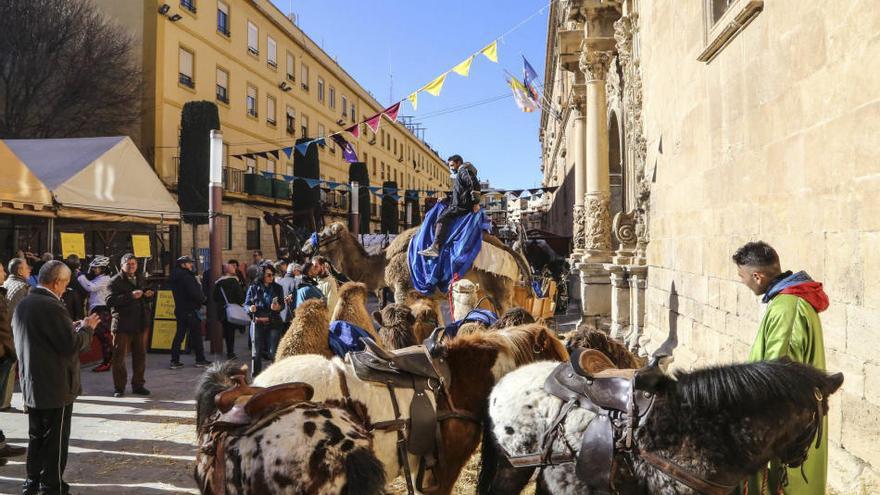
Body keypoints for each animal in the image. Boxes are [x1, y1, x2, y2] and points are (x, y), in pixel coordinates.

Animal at [306, 222, 532, 324]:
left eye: (325, 234)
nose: (305, 246)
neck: (382, 263)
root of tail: (508, 249)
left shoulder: (401, 289)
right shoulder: (428, 295)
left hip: (499, 287)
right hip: (502, 290)